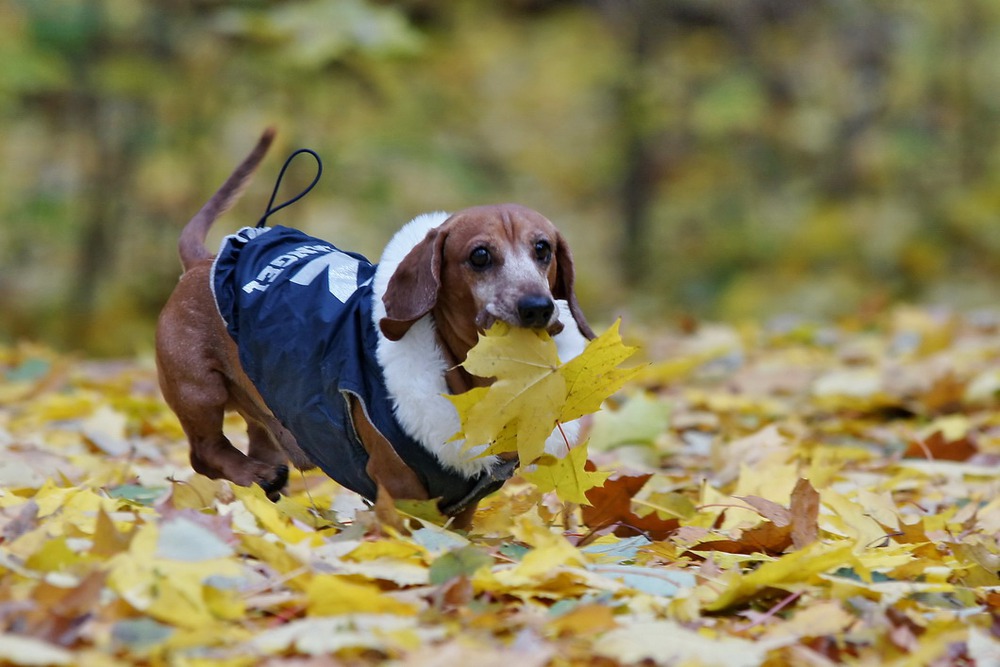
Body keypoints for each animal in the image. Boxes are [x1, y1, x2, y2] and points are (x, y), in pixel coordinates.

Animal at [156, 129, 592, 528]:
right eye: (480, 255)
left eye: (543, 249)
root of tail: (202, 261)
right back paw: (257, 474)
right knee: (205, 452)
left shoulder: (468, 499)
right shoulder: (397, 489)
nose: (537, 307)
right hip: (199, 390)